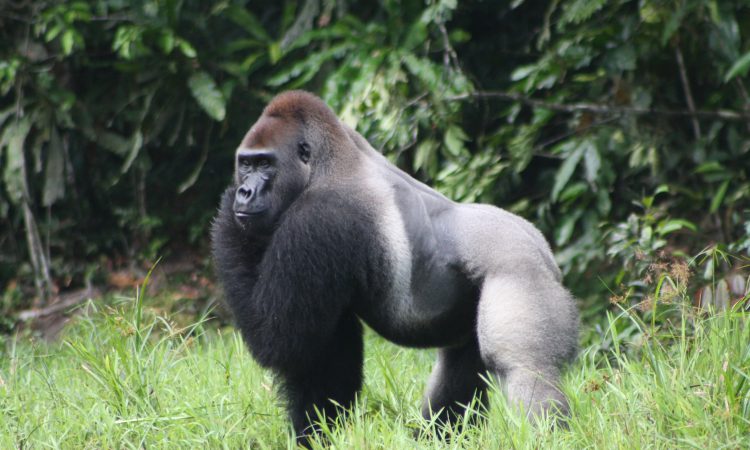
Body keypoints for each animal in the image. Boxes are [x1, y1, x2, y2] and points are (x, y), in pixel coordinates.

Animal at [211, 90, 579, 445]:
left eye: (265, 163)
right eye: (246, 164)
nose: (244, 191)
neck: (327, 164)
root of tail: (542, 249)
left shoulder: (315, 220)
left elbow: (280, 339)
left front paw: (226, 206)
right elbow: (322, 351)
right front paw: (317, 433)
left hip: (519, 269)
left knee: (524, 368)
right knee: (461, 363)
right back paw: (438, 435)